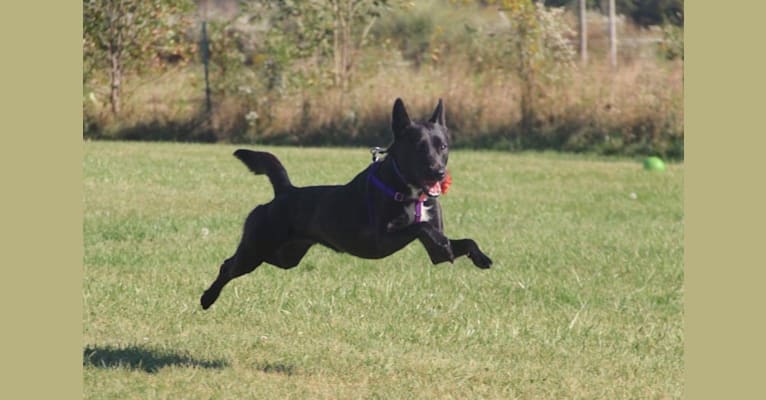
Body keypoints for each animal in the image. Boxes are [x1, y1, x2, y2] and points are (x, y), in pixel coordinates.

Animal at [202, 99, 492, 310]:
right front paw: (444, 243)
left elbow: (464, 241)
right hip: (256, 248)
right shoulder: (381, 240)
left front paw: (480, 257)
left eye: (443, 147)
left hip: (285, 257)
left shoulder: (433, 253)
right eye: (420, 147)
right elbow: (421, 227)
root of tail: (285, 192)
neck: (408, 189)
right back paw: (207, 298)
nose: (439, 172)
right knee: (227, 266)